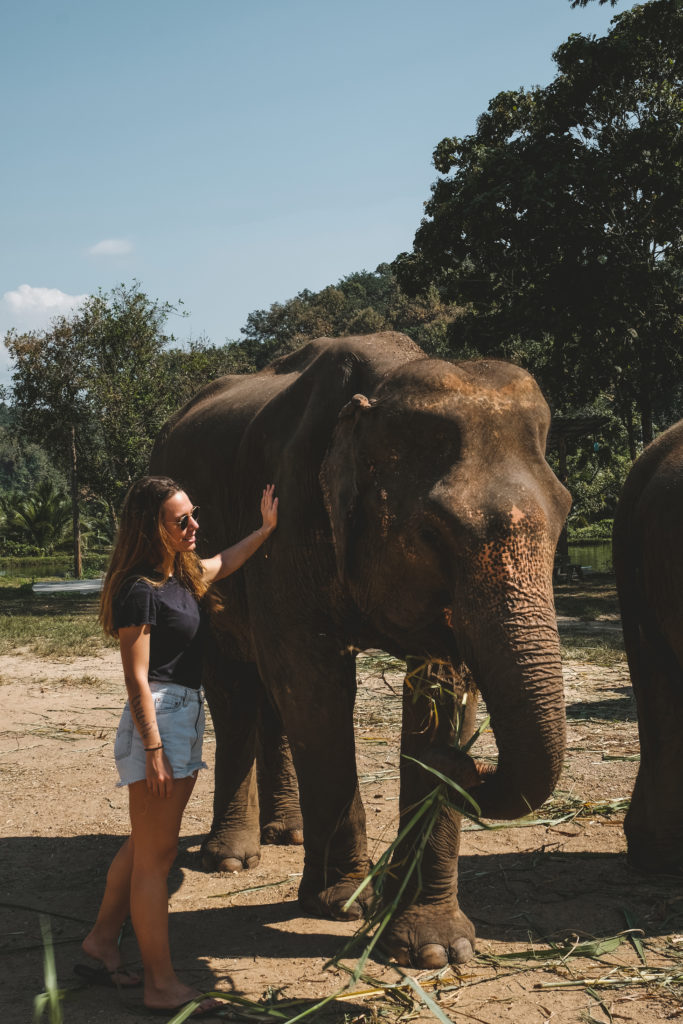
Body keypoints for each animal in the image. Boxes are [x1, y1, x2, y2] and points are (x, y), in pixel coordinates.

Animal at [150, 331, 573, 962]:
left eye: (565, 513)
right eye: (434, 531)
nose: (466, 761)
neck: (382, 385)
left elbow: (441, 686)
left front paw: (435, 949)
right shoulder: (289, 519)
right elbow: (315, 682)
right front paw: (344, 903)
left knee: (271, 693)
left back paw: (289, 833)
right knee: (237, 687)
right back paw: (229, 860)